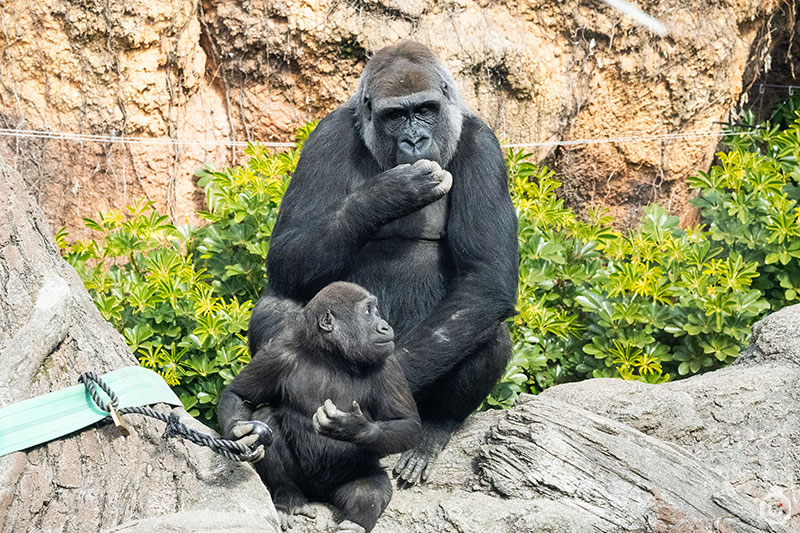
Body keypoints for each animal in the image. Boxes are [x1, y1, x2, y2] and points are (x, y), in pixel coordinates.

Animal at [216, 280, 422, 528]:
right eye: (367, 312)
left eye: (375, 311)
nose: (384, 327)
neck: (333, 356)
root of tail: (320, 497)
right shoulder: (278, 352)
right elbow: (239, 394)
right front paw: (239, 434)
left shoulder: (388, 364)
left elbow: (407, 424)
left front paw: (353, 427)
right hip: (304, 485)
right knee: (266, 418)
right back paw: (288, 498)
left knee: (369, 489)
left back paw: (354, 523)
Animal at [248, 40, 520, 482]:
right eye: (395, 115)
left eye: (425, 109)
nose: (414, 140)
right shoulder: (326, 136)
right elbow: (287, 254)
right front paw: (388, 194)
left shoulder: (485, 147)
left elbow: (485, 277)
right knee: (279, 305)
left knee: (487, 327)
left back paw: (435, 429)